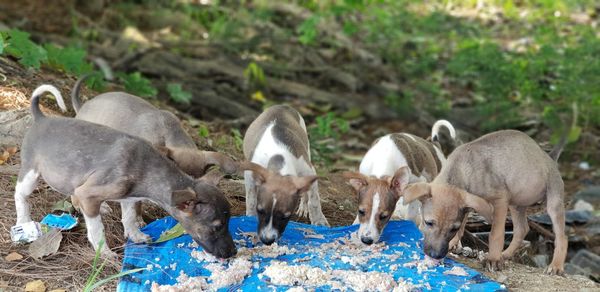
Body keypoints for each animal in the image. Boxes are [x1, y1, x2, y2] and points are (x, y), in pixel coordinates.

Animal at [15, 86, 236, 258]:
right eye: (217, 227)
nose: (233, 252)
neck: (147, 169)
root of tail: (41, 118)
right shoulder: (87, 195)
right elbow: (97, 230)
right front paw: (104, 253)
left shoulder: (129, 197)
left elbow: (129, 218)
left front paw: (136, 236)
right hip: (30, 174)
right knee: (20, 196)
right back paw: (23, 222)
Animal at [404, 130, 568, 274]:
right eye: (428, 223)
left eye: (452, 228)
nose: (436, 255)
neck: (461, 168)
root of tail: (548, 157)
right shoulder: (469, 201)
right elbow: (464, 224)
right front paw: (454, 244)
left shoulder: (500, 200)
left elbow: (495, 233)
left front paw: (493, 259)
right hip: (517, 205)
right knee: (522, 229)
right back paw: (505, 255)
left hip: (553, 202)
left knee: (562, 237)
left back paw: (556, 266)